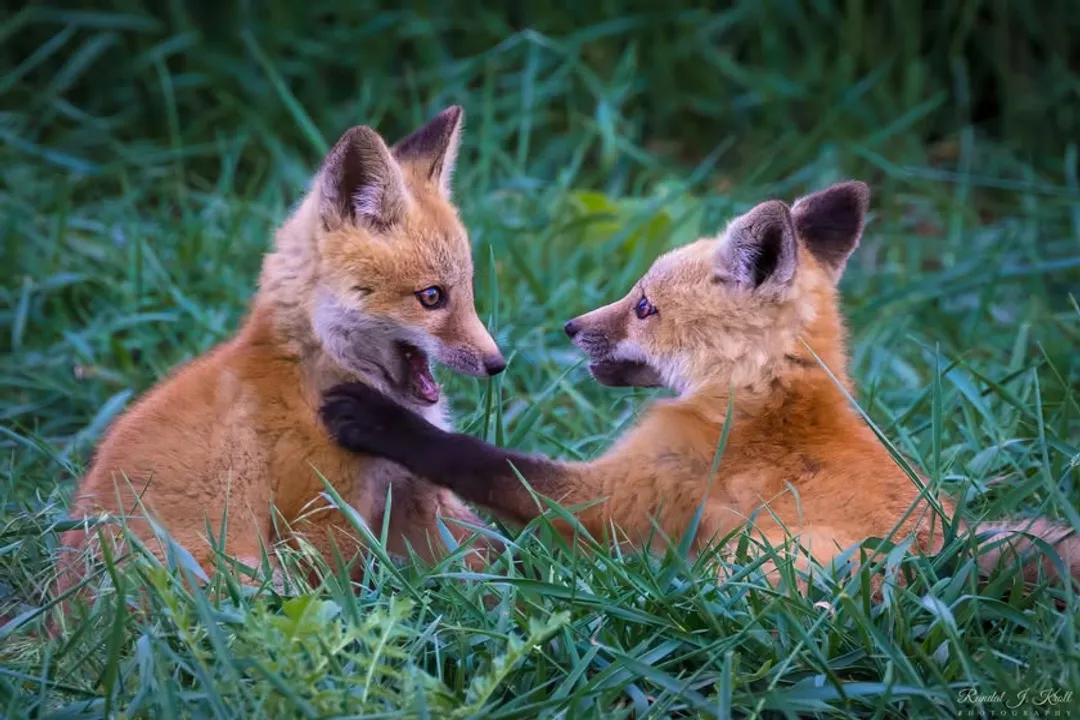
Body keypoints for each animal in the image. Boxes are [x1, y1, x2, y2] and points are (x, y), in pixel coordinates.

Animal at [53, 106, 506, 614]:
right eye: (431, 297)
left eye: (467, 290)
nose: (497, 363)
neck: (319, 375)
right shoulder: (322, 518)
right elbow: (339, 602)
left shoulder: (415, 493)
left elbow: (496, 556)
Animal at [319, 181, 1080, 587]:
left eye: (644, 306)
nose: (569, 326)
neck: (759, 393)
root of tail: (949, 556)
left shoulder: (628, 492)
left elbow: (484, 463)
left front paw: (374, 419)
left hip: (771, 562)